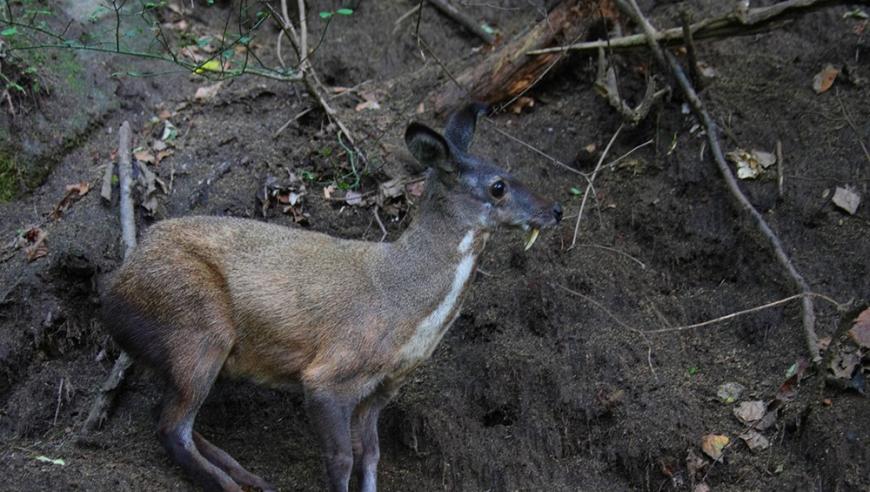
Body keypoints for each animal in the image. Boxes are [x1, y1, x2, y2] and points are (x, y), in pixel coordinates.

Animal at [102, 104, 564, 492]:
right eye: (498, 186)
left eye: (509, 172)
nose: (557, 209)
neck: (404, 307)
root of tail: (114, 289)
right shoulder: (330, 373)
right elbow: (341, 458)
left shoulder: (381, 389)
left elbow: (371, 455)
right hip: (198, 326)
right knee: (171, 428)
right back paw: (232, 484)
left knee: (165, 415)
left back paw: (248, 475)